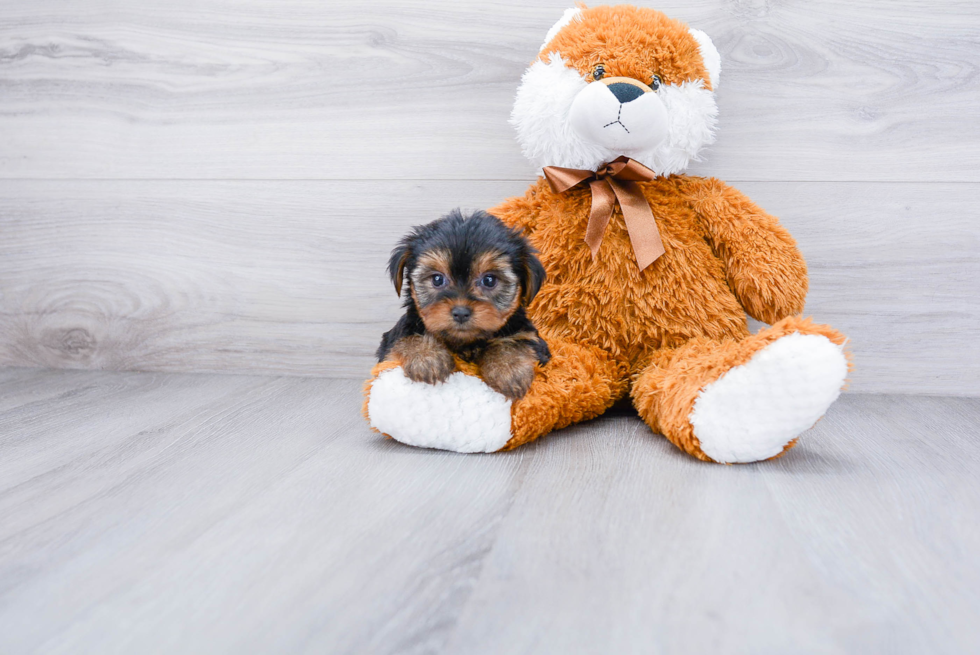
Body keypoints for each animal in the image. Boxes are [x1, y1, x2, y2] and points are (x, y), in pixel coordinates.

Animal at [378, 209, 552, 400]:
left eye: (489, 280)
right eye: (437, 279)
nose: (461, 312)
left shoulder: (531, 337)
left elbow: (516, 341)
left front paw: (509, 368)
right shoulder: (394, 338)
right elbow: (405, 337)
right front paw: (426, 357)